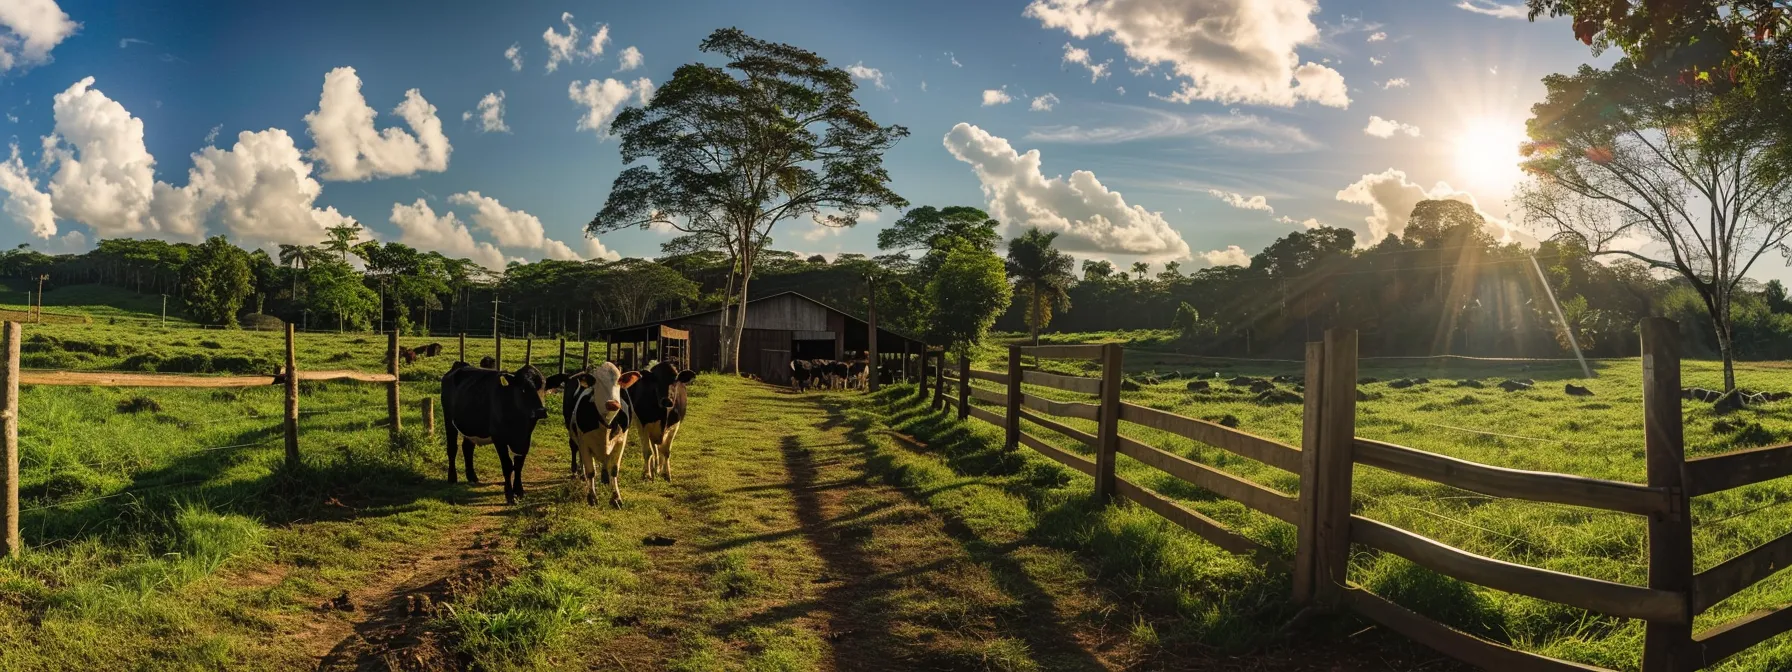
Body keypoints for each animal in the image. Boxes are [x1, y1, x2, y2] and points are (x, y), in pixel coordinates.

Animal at [440, 363, 566, 505]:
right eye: (523, 389)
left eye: (544, 388)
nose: (540, 411)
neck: (519, 423)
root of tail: (459, 365)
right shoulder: (499, 438)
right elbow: (507, 465)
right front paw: (510, 495)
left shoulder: (525, 439)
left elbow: (519, 465)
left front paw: (519, 492)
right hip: (449, 420)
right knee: (452, 448)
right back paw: (452, 478)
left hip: (471, 425)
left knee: (467, 447)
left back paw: (472, 477)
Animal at [562, 365, 648, 508]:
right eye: (597, 382)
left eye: (619, 381)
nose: (613, 403)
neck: (606, 423)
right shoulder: (584, 442)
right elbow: (591, 471)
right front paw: (592, 497)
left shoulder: (621, 441)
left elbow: (614, 469)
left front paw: (616, 498)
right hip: (571, 431)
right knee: (574, 448)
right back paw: (576, 472)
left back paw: (603, 477)